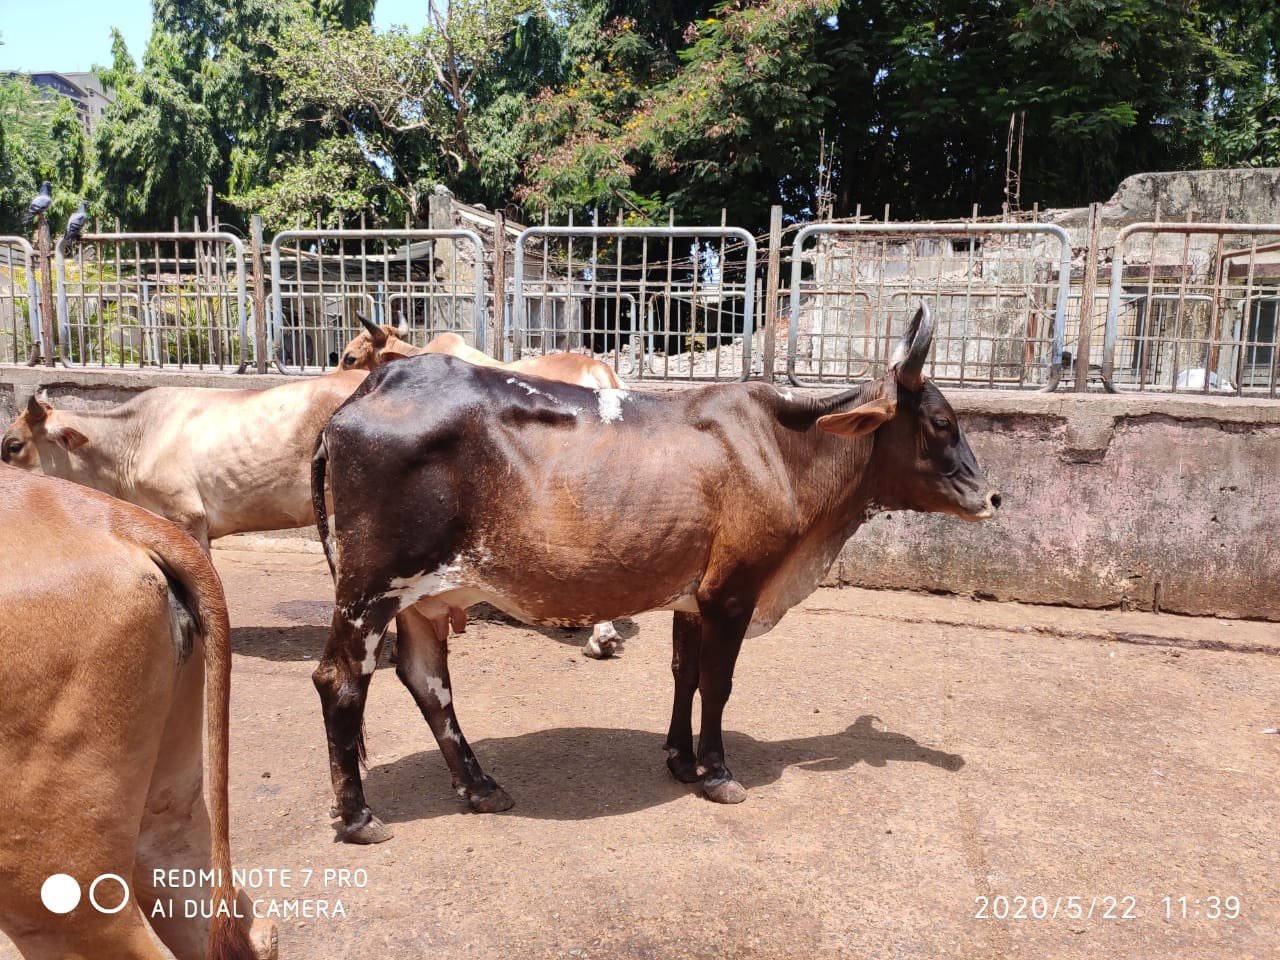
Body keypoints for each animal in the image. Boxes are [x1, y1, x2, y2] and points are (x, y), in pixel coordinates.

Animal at [309, 304, 1000, 843]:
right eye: (942, 422)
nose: (992, 497)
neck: (785, 448)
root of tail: (371, 389)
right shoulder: (732, 594)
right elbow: (717, 686)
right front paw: (718, 773)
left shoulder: (691, 598)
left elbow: (684, 675)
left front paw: (680, 759)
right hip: (370, 590)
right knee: (341, 681)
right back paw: (359, 816)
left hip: (419, 598)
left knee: (427, 681)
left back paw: (480, 787)